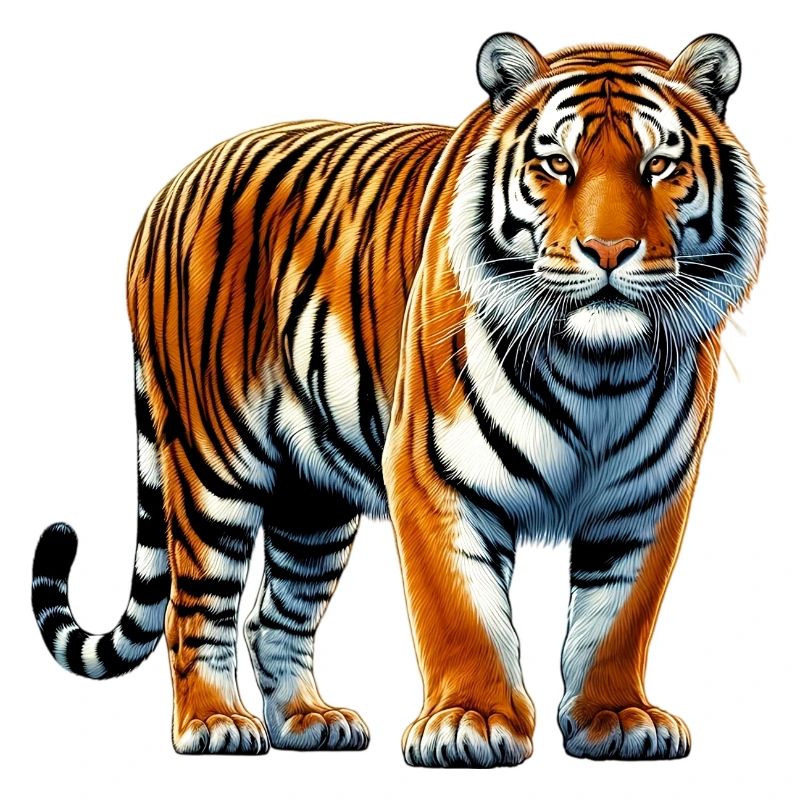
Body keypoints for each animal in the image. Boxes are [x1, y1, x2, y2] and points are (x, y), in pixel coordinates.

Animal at [32, 32, 765, 766]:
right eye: (557, 163)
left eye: (659, 164)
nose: (608, 250)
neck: (599, 369)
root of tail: (172, 185)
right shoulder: (433, 474)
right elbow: (463, 611)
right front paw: (472, 721)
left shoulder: (649, 496)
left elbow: (616, 617)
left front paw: (616, 718)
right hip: (213, 464)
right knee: (196, 606)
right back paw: (214, 723)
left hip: (312, 497)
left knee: (274, 614)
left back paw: (307, 721)